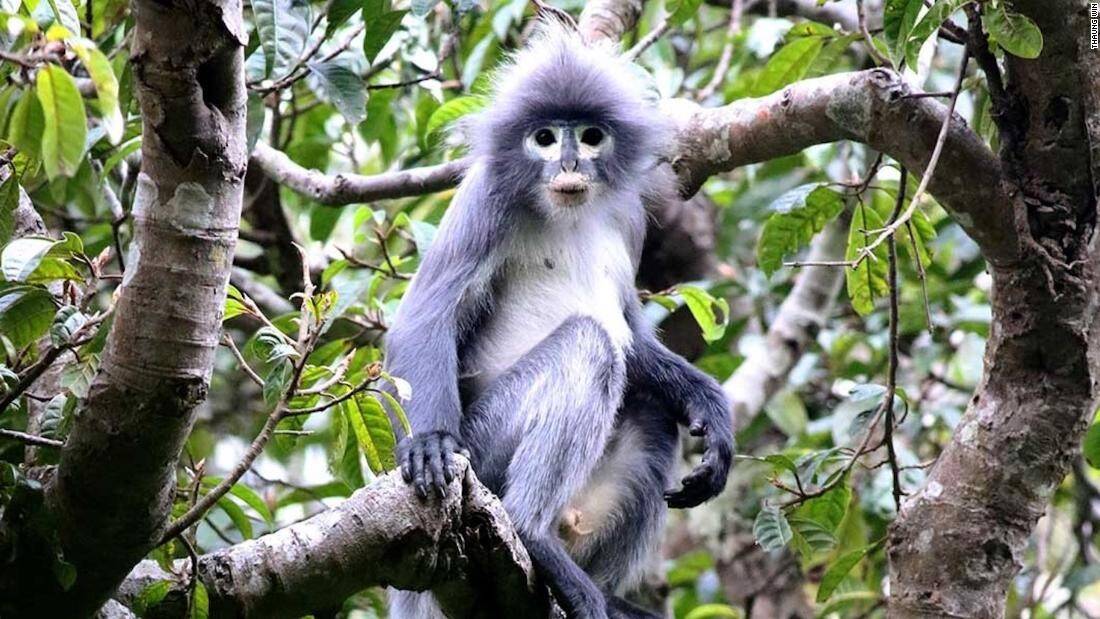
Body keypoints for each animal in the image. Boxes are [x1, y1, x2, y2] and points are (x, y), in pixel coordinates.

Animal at [382, 20, 734, 619]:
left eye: (589, 137)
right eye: (545, 138)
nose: (569, 164)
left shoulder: (629, 217)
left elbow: (632, 334)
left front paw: (711, 408)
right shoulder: (486, 198)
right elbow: (424, 318)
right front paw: (427, 441)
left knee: (649, 403)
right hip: (485, 450)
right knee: (588, 344)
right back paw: (533, 533)